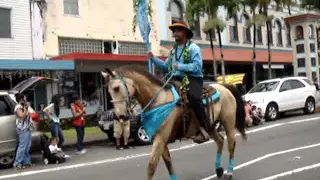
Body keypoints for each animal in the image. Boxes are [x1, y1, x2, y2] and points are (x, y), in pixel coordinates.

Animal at [101, 65, 246, 179]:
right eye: (108, 91)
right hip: (209, 125)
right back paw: (219, 169)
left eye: (116, 88)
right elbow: (168, 164)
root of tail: (224, 87)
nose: (121, 116)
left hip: (228, 122)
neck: (159, 100)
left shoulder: (160, 139)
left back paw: (229, 172)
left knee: (231, 143)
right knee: (220, 140)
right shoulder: (160, 140)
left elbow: (151, 167)